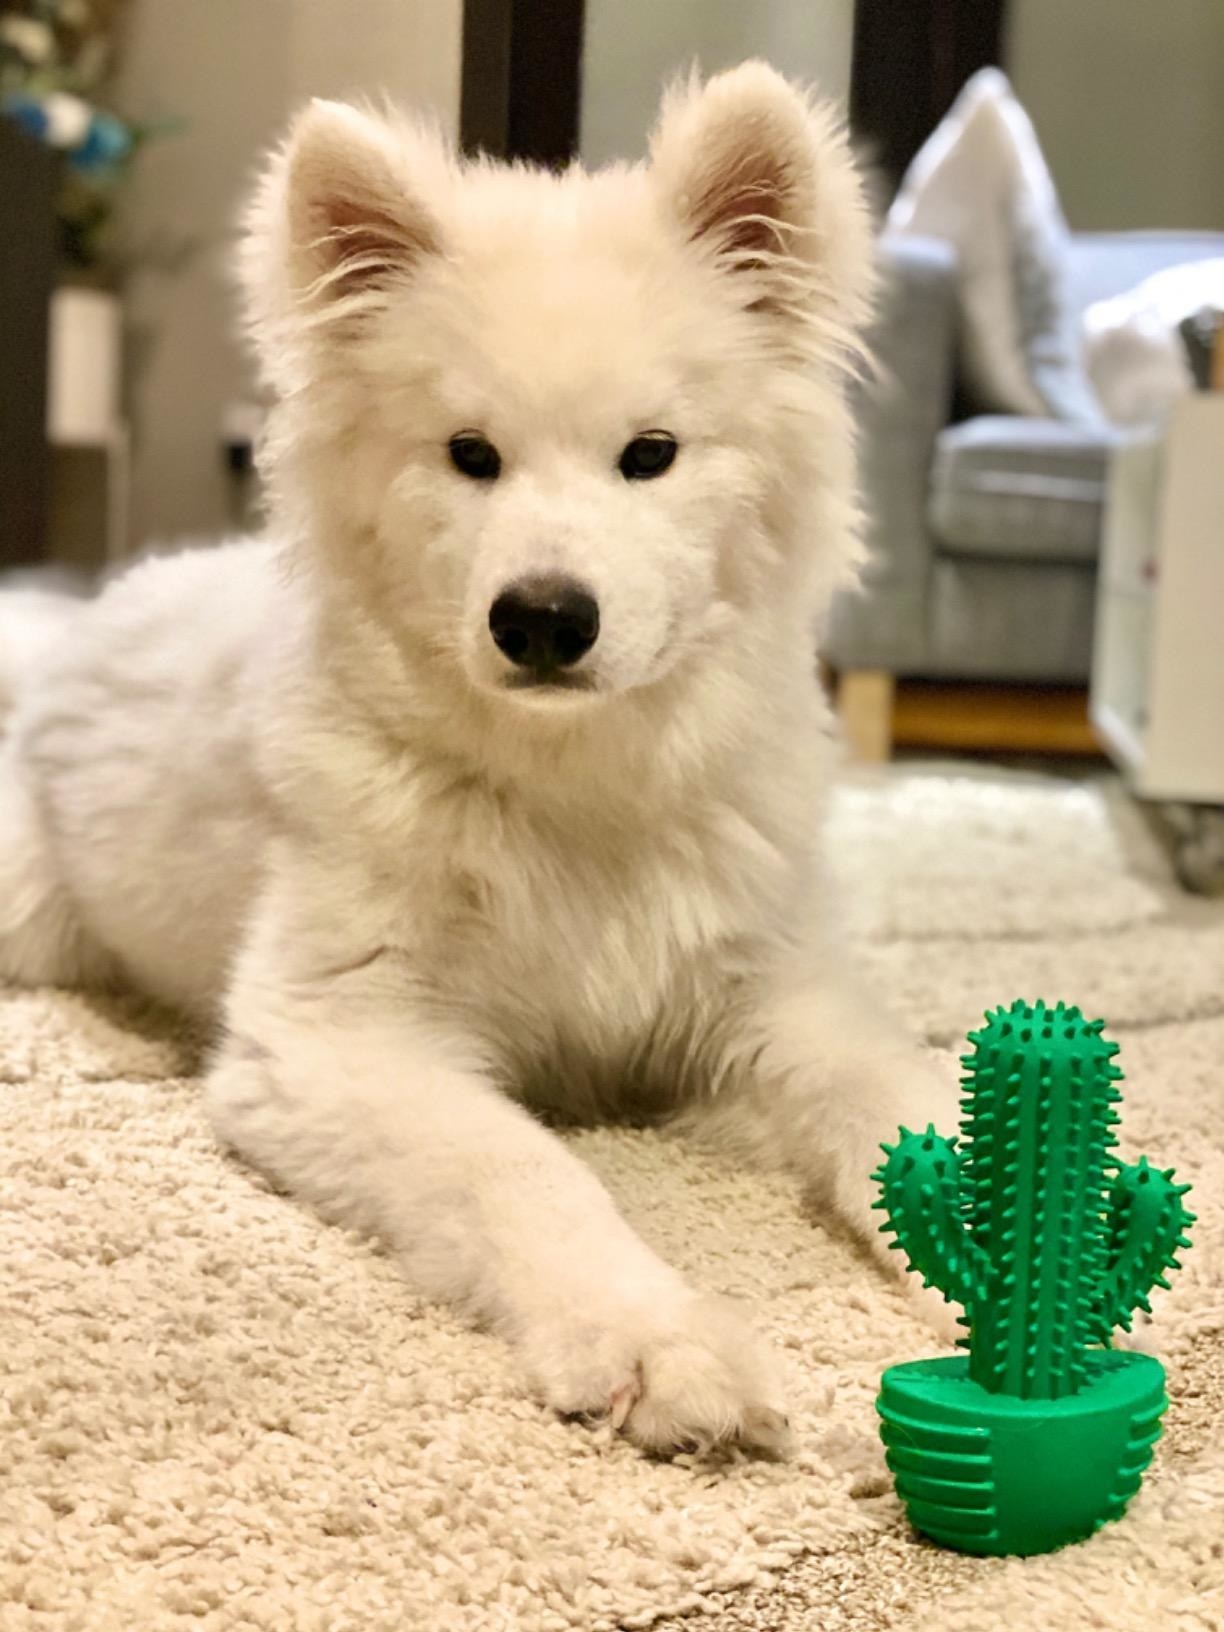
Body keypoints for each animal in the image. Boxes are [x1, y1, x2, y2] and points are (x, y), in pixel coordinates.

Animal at [0, 66, 959, 1455]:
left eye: (651, 453)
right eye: (469, 455)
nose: (545, 619)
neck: (574, 787)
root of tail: (68, 629)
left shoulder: (781, 998)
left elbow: (915, 1105)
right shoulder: (339, 1037)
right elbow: (524, 1170)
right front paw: (652, 1340)